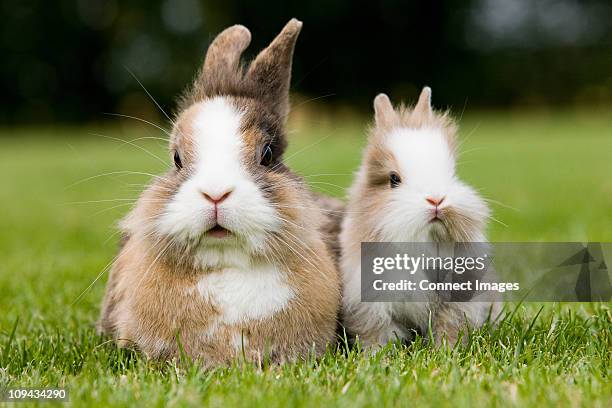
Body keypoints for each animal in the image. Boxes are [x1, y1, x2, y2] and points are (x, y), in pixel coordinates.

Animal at [340, 87, 498, 348]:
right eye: (393, 179)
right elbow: (377, 335)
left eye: (452, 173)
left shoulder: (456, 302)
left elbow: (449, 329)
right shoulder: (370, 304)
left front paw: (446, 351)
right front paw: (377, 355)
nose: (436, 200)